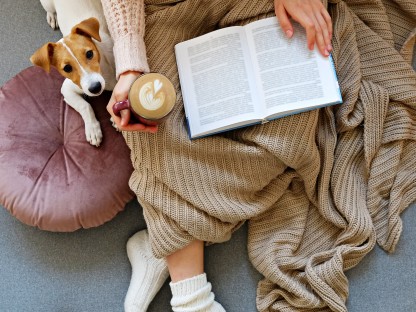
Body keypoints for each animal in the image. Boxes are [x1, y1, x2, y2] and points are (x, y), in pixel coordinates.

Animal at [30, 0, 116, 147]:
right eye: (67, 68)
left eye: (89, 53)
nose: (95, 88)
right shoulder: (67, 89)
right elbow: (85, 105)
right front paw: (92, 129)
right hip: (47, 4)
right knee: (49, 10)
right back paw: (52, 16)